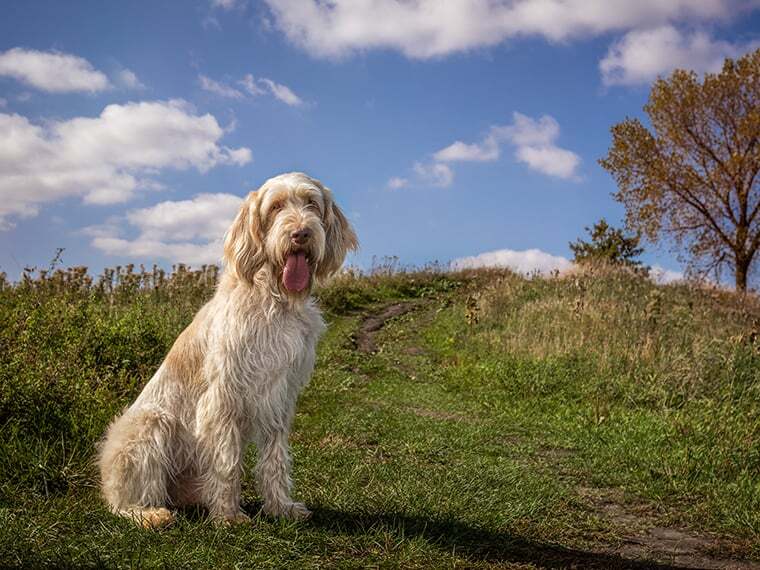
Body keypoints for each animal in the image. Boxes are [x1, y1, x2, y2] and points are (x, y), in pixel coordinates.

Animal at [98, 171, 360, 524]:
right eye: (276, 206)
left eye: (311, 204)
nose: (301, 234)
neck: (274, 300)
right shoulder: (223, 397)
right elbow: (227, 460)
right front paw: (228, 515)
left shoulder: (280, 396)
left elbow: (275, 459)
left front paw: (280, 507)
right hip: (151, 423)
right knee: (121, 504)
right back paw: (151, 515)